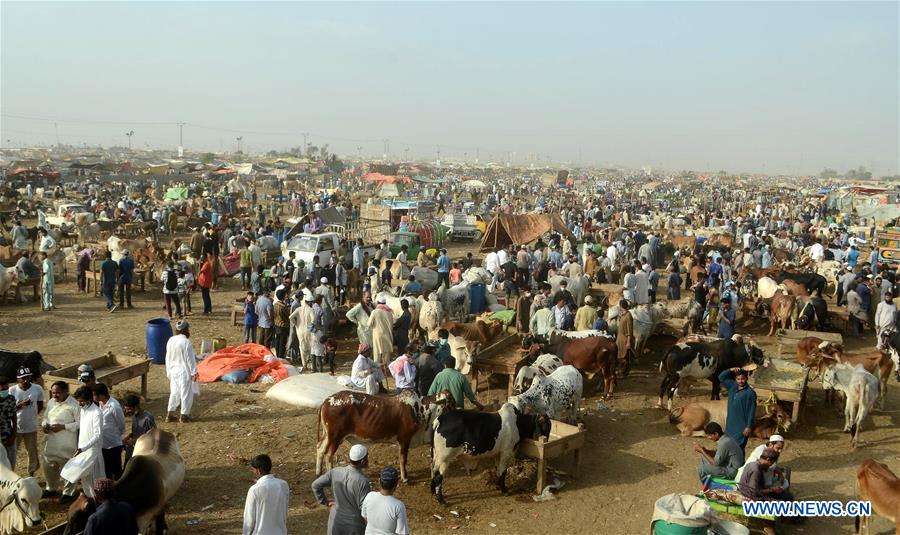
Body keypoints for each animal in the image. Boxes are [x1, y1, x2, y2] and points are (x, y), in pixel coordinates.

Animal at [318, 388, 458, 484]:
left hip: (329, 436)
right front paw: (405, 478)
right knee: (328, 455)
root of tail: (326, 401)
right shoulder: (404, 439)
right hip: (335, 436)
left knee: (320, 449)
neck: (420, 409)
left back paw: (318, 472)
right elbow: (403, 459)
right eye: (450, 404)